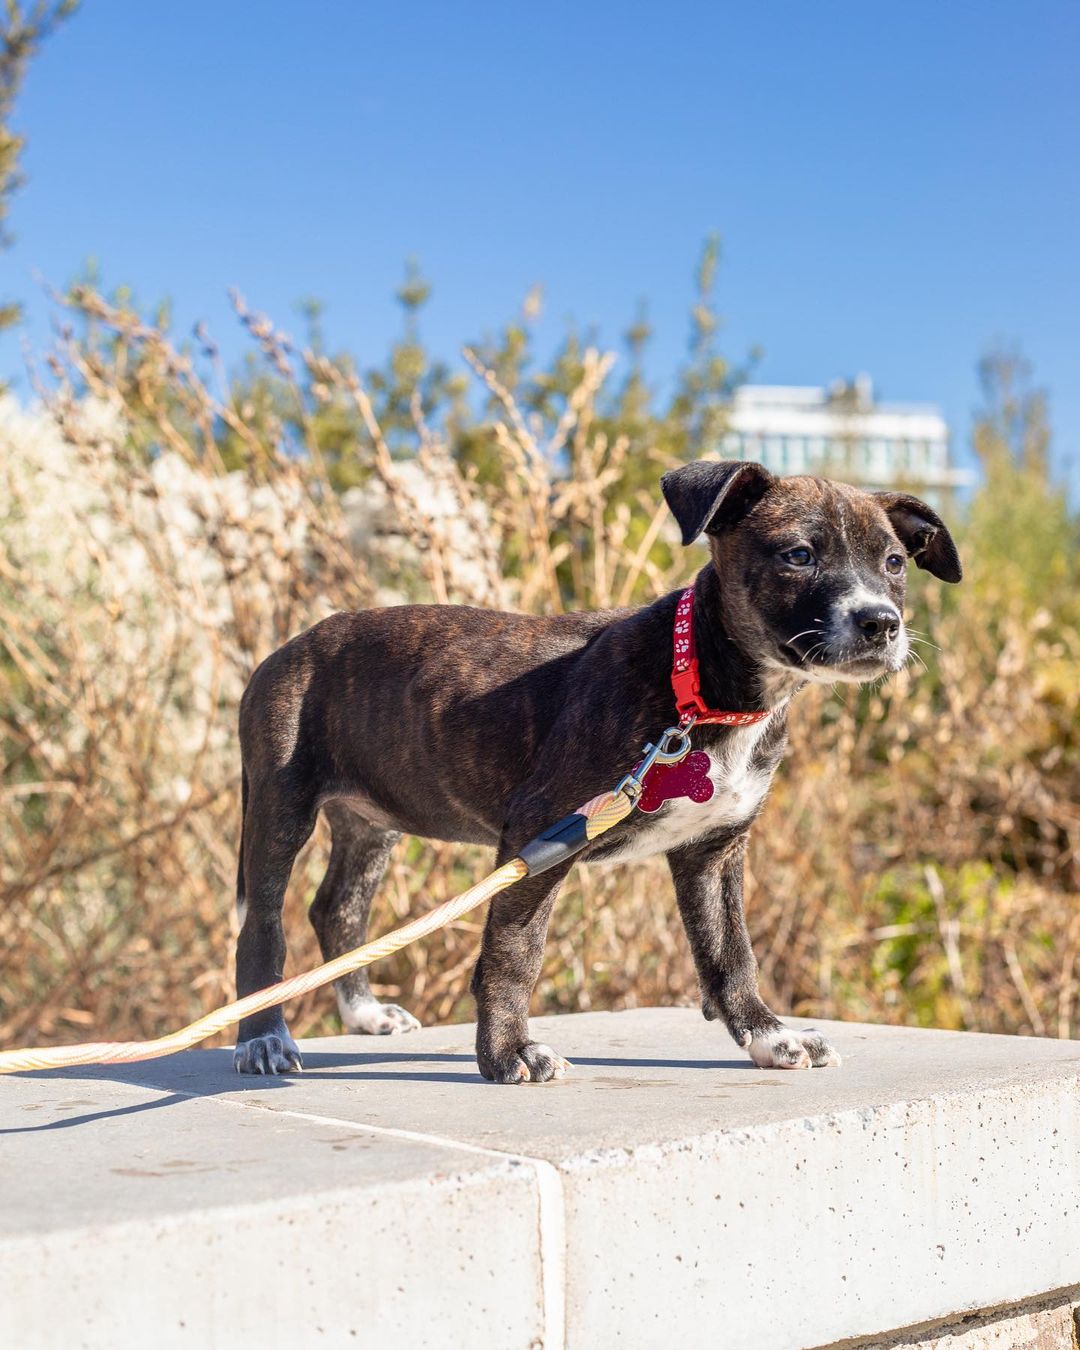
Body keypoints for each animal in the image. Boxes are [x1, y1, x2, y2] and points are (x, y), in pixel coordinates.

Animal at [232, 461, 955, 1074]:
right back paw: (263, 1038)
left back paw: (361, 1012)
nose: (880, 623)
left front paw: (767, 1034)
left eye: (894, 562)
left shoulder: (713, 849)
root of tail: (286, 649)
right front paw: (507, 1053)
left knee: (337, 909)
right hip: (280, 807)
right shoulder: (538, 837)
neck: (701, 683)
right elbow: (514, 953)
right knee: (263, 924)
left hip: (371, 823)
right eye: (799, 555)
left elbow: (731, 954)